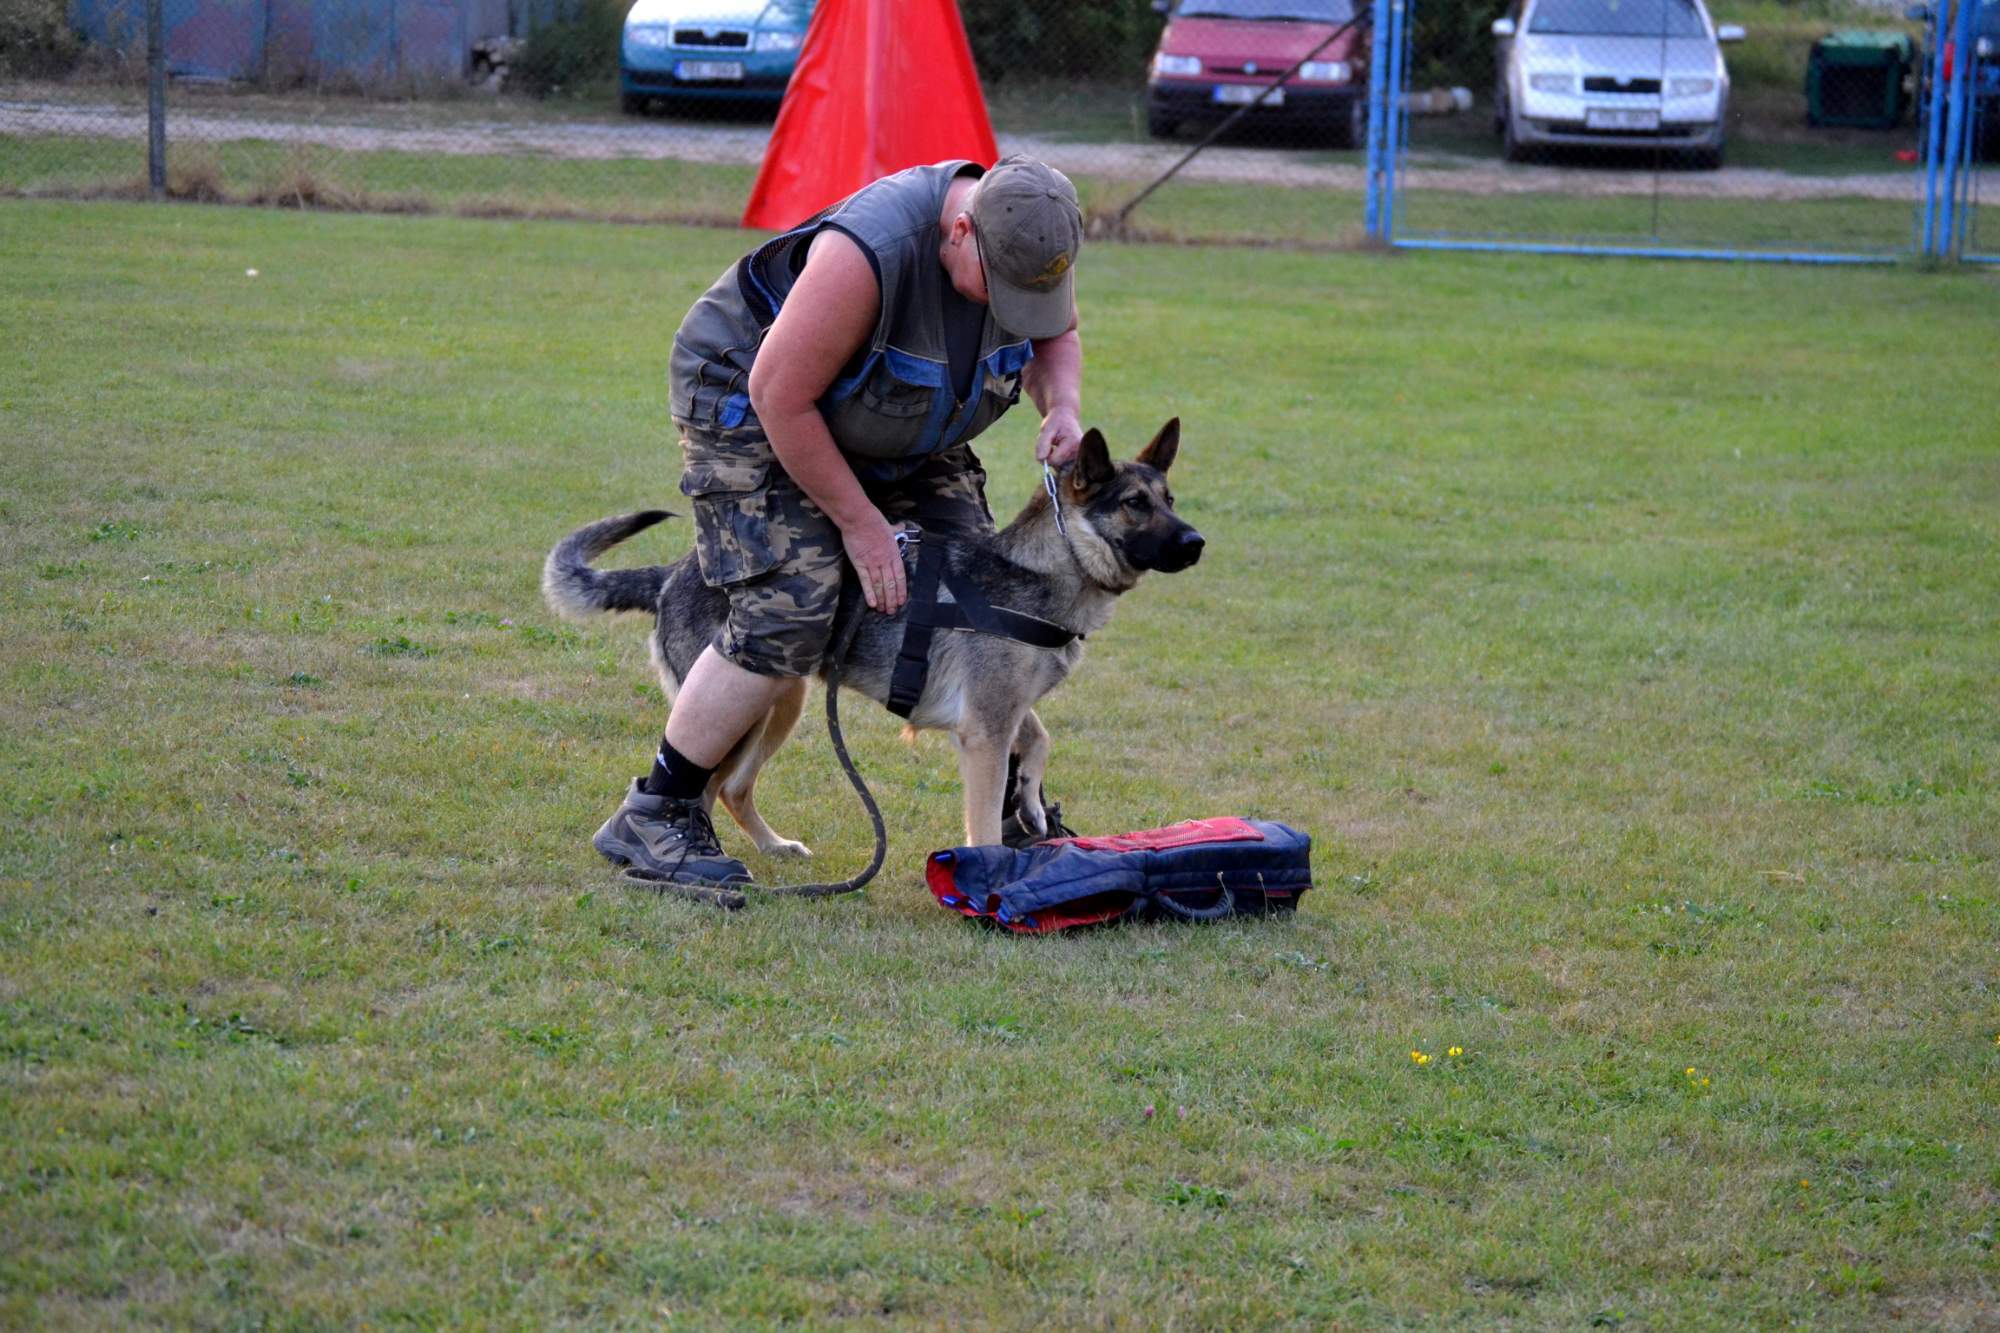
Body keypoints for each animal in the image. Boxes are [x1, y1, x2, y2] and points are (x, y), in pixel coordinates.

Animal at [542, 419, 1203, 852]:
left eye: (1170, 498)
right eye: (1135, 503)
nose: (1197, 543)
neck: (1038, 572)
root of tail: (672, 573)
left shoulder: (1003, 715)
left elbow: (1039, 741)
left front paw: (1034, 807)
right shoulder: (984, 733)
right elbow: (986, 818)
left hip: (783, 699)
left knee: (730, 789)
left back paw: (770, 849)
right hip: (749, 702)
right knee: (704, 787)